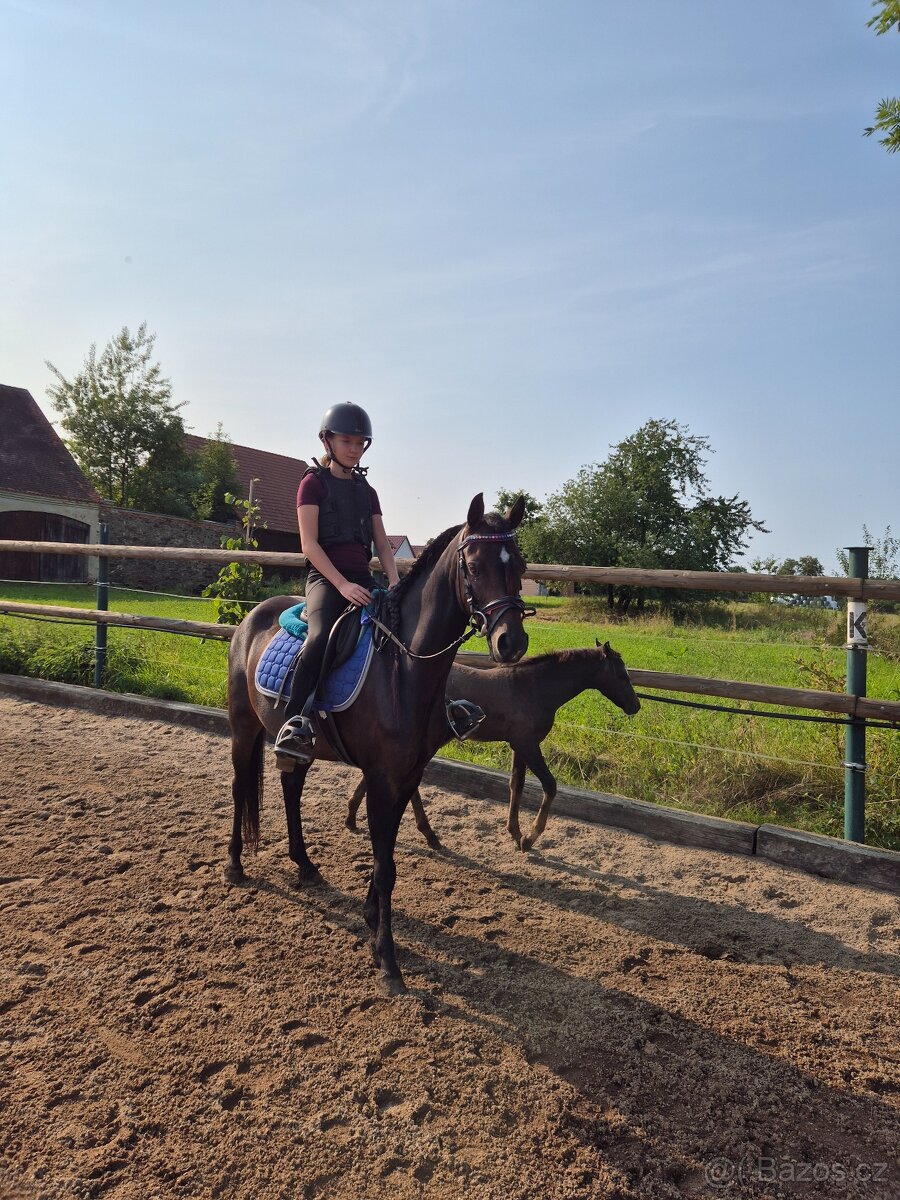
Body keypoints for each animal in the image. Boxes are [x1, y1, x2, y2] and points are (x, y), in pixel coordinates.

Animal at [225, 493, 530, 995]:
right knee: (238, 789)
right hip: (243, 725)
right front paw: (387, 959)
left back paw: (304, 864)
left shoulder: (406, 776)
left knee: (291, 790)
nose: (512, 642)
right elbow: (385, 866)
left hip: (300, 747)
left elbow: (386, 853)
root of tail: (253, 615)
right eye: (473, 563)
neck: (403, 669)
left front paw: (371, 919)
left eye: (519, 564)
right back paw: (234, 865)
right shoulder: (381, 777)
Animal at [346, 641, 640, 852]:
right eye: (622, 675)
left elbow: (516, 785)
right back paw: (427, 834)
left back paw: (352, 817)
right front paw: (530, 838)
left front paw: (515, 833)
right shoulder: (528, 745)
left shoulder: (519, 745)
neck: (534, 688)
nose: (635, 706)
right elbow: (549, 785)